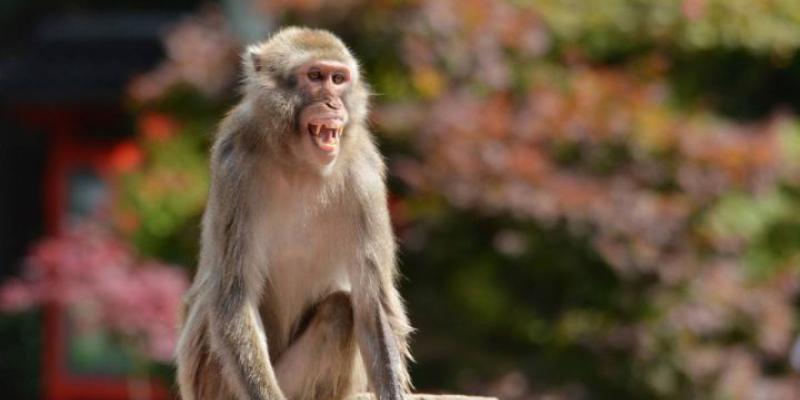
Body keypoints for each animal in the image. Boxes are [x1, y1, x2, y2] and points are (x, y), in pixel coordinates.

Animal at [175, 27, 413, 400]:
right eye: (315, 77)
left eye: (338, 79)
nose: (333, 103)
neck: (299, 163)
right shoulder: (234, 165)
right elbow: (234, 296)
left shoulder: (365, 174)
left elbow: (372, 299)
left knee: (340, 311)